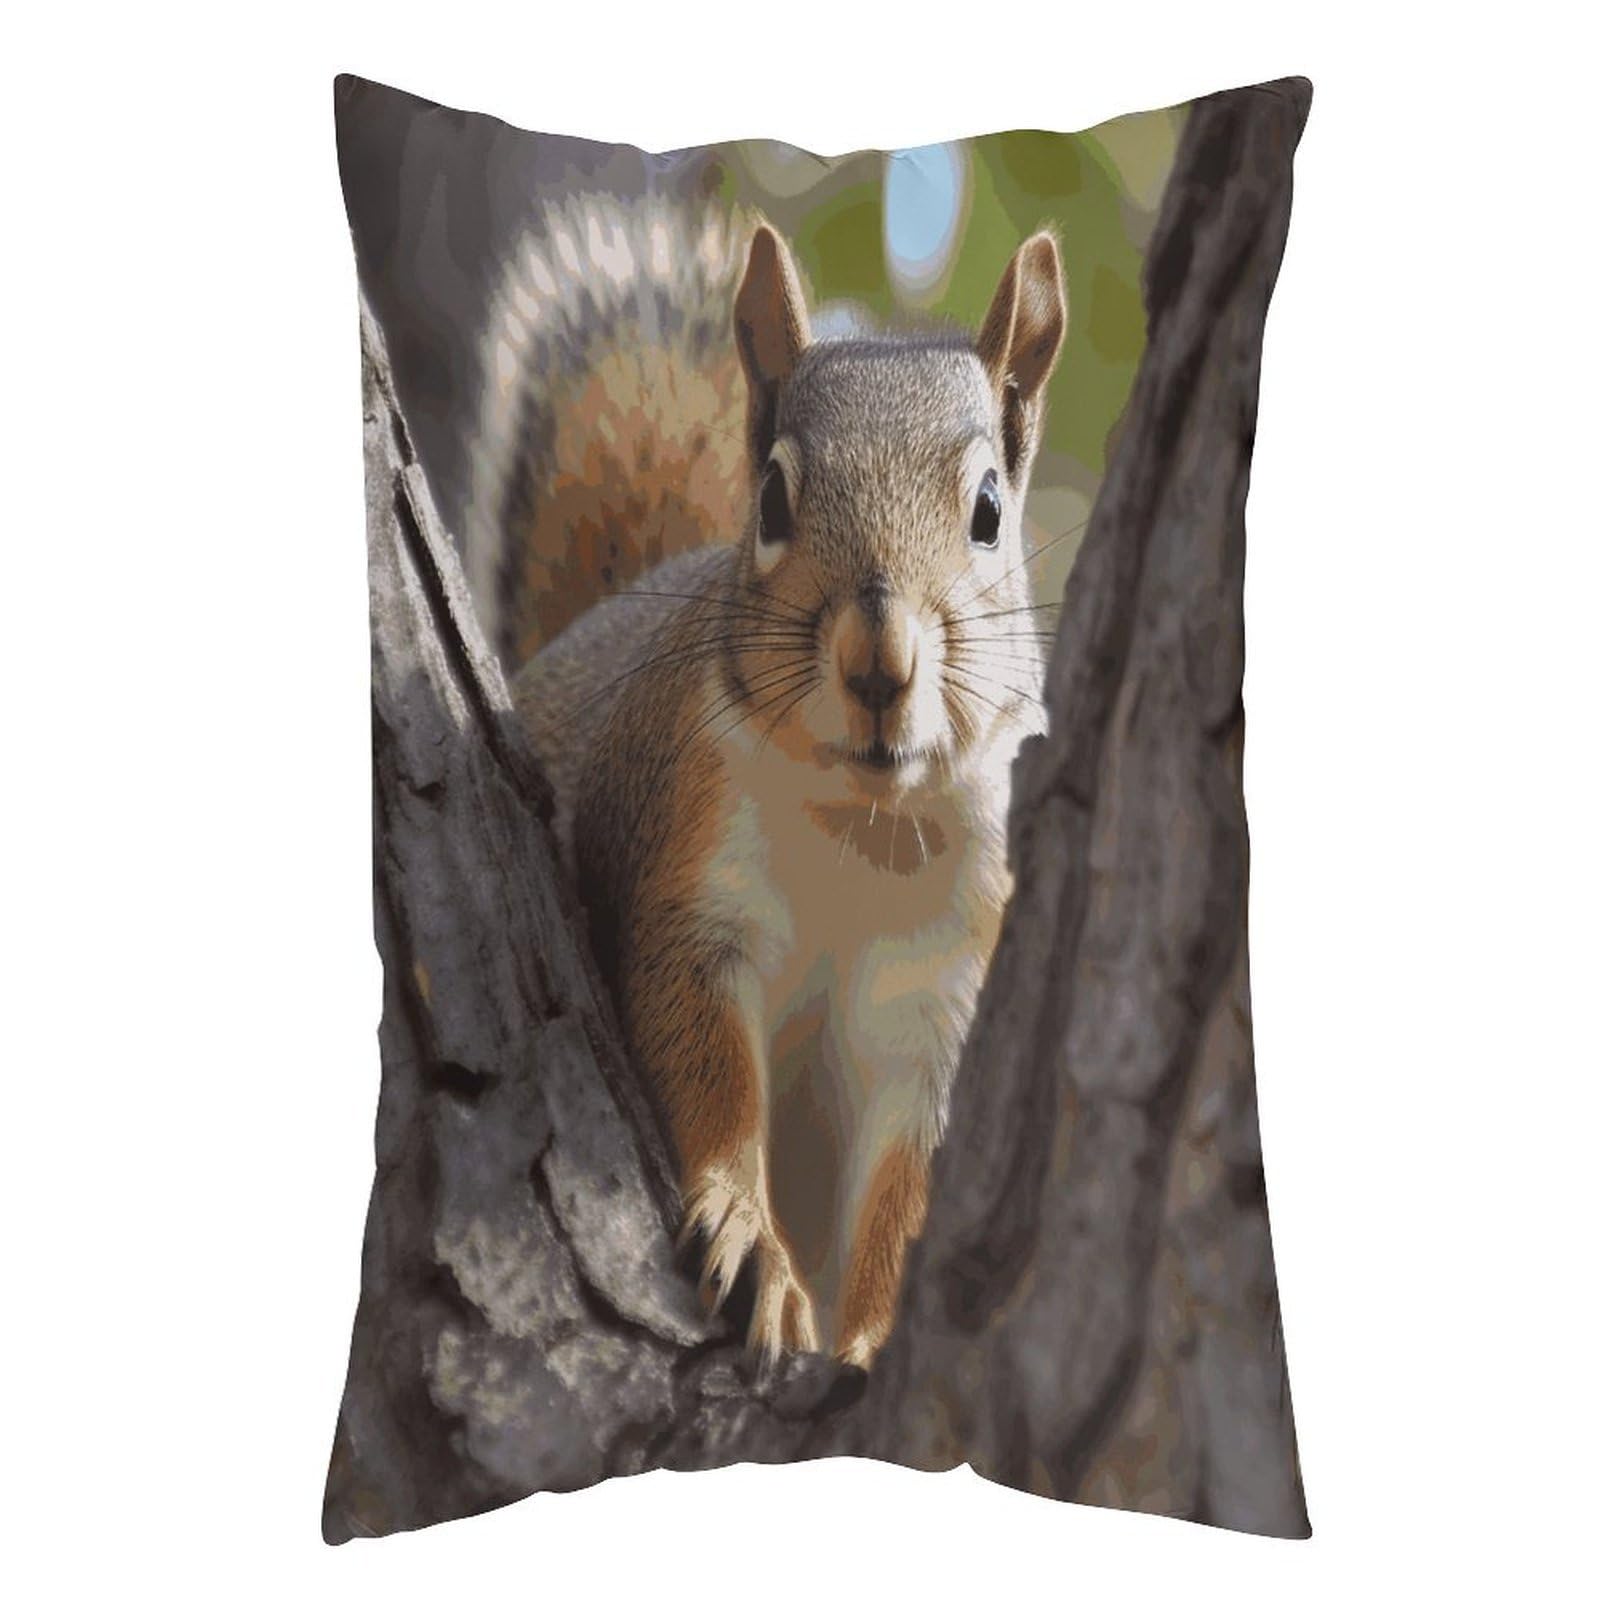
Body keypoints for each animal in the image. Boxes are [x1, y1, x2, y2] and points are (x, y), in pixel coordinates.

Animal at [468, 191, 1067, 1368]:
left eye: (988, 510)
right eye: (776, 497)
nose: (878, 663)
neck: (862, 824)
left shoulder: (944, 985)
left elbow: (910, 1180)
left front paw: (872, 1335)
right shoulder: (690, 878)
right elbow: (702, 1060)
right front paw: (752, 1238)